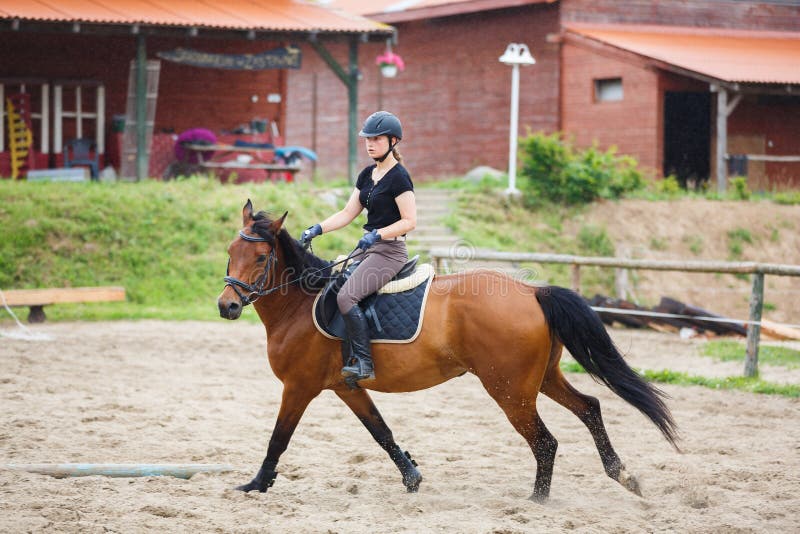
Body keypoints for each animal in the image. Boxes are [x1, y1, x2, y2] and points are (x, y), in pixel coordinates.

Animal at [217, 200, 678, 502]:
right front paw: (412, 477)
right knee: (589, 408)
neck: (299, 304)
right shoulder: (347, 387)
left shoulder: (300, 386)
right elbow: (381, 431)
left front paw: (256, 484)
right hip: (543, 378)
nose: (227, 307)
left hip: (510, 390)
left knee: (546, 440)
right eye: (230, 252)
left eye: (261, 257)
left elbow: (278, 437)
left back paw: (538, 499)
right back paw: (622, 475)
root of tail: (533, 291)